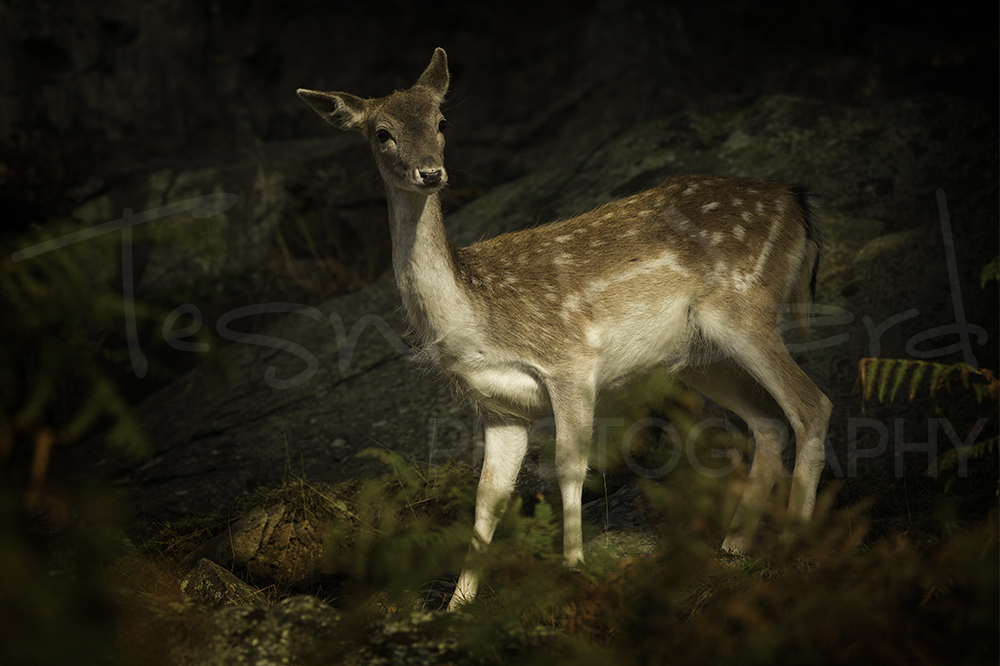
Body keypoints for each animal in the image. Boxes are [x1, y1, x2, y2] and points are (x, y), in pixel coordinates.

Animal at [297, 48, 832, 610]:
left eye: (441, 121)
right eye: (382, 132)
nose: (430, 173)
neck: (478, 318)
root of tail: (798, 202)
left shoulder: (570, 360)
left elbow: (570, 465)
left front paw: (573, 568)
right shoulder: (499, 409)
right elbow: (488, 499)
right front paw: (459, 604)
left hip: (745, 308)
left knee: (810, 406)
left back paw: (793, 547)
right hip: (697, 355)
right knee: (769, 422)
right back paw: (734, 547)